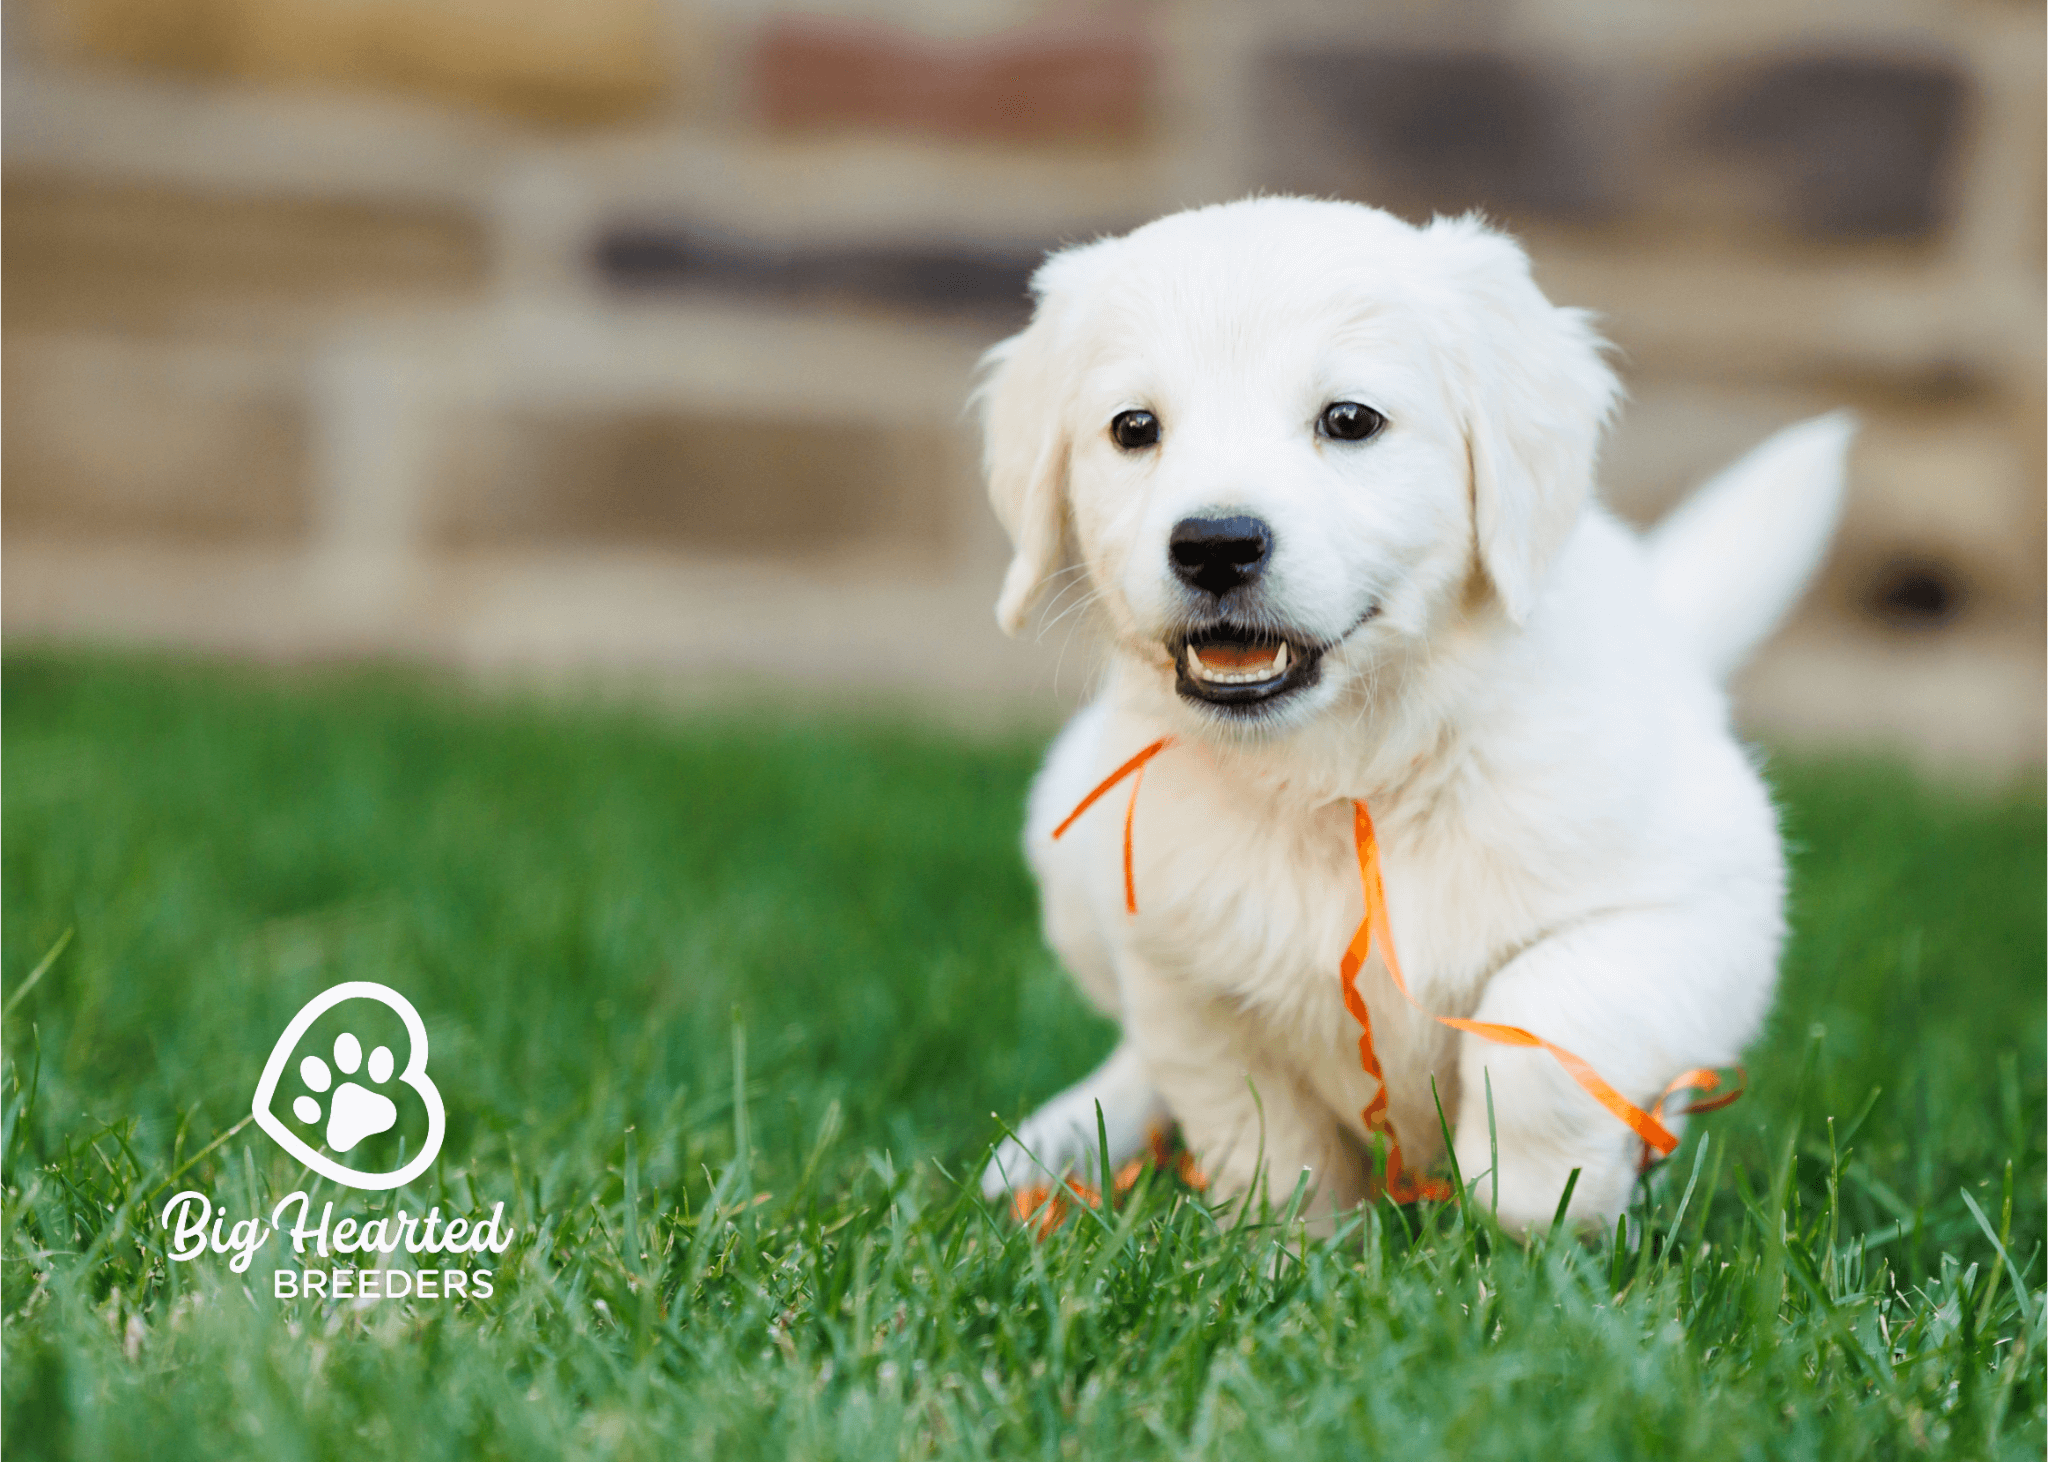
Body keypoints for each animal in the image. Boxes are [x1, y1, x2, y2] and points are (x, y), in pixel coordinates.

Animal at [974, 190, 1859, 1220]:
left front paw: (1537, 1207)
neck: (1352, 772)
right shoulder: (1175, 967)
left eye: (1349, 420)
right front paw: (1292, 1240)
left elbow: (1543, 1017)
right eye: (1133, 428)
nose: (1215, 543)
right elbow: (1255, 1127)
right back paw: (1053, 1148)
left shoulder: (1698, 898)